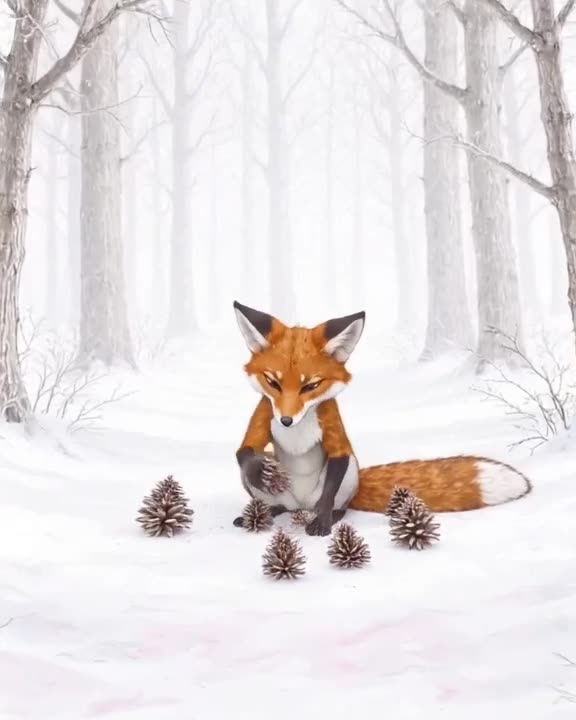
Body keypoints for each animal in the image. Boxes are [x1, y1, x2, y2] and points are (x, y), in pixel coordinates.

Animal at [232, 300, 532, 536]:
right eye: (272, 382)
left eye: (311, 386)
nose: (285, 421)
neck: (298, 429)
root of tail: (301, 505)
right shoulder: (264, 411)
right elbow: (246, 449)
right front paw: (260, 470)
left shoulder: (332, 421)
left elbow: (337, 459)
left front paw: (324, 522)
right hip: (271, 492)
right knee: (276, 501)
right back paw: (264, 512)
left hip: (349, 474)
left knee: (338, 503)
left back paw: (329, 516)